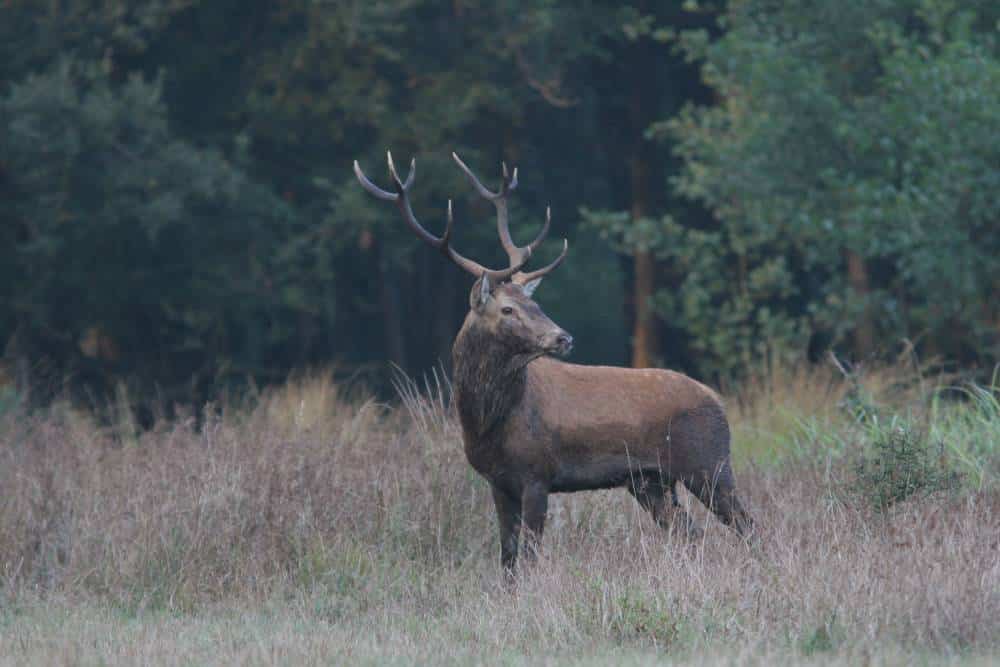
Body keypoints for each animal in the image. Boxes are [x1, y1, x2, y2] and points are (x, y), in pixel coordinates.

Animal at [354, 151, 754, 576]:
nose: (563, 337)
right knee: (690, 532)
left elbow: (528, 555)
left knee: (746, 524)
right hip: (649, 481)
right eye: (508, 309)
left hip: (708, 463)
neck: (488, 422)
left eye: (535, 303)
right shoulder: (498, 481)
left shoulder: (537, 473)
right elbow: (507, 556)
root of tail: (718, 401)